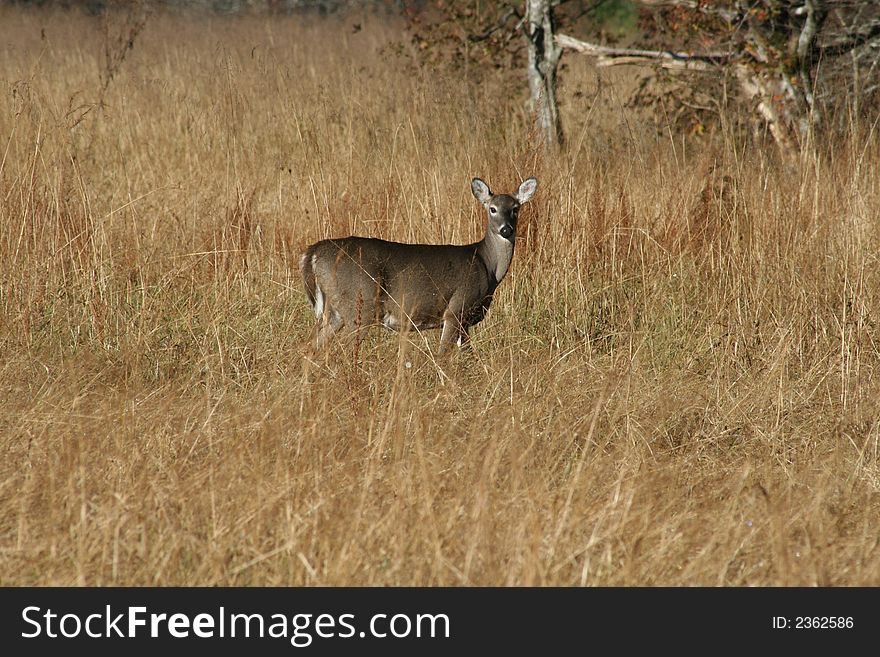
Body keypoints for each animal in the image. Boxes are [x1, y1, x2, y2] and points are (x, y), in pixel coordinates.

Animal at [300, 173, 536, 348]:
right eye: (492, 209)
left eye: (515, 209)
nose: (506, 229)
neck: (487, 266)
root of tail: (312, 253)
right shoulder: (456, 310)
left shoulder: (465, 322)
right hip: (358, 306)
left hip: (334, 312)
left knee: (309, 349)